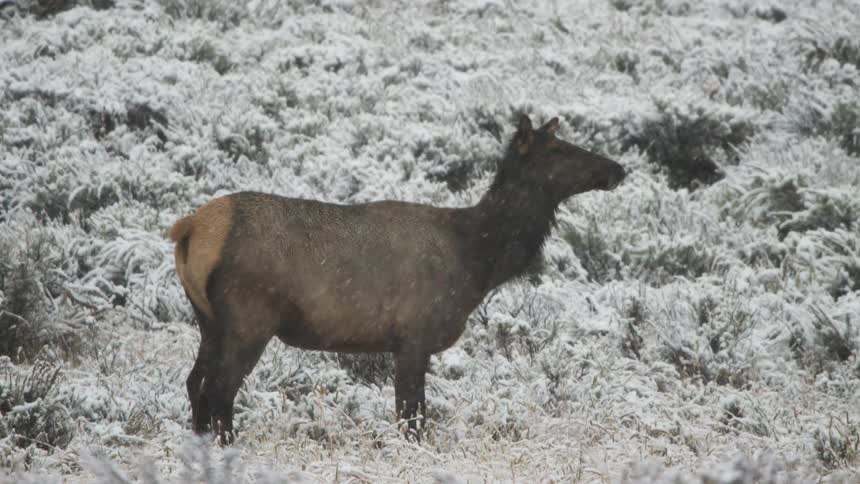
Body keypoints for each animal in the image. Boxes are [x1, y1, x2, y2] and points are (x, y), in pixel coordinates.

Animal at [169, 114, 626, 445]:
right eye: (559, 149)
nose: (618, 168)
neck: (478, 262)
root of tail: (189, 228)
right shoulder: (414, 334)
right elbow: (412, 416)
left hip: (208, 319)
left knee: (195, 382)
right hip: (249, 317)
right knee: (219, 390)